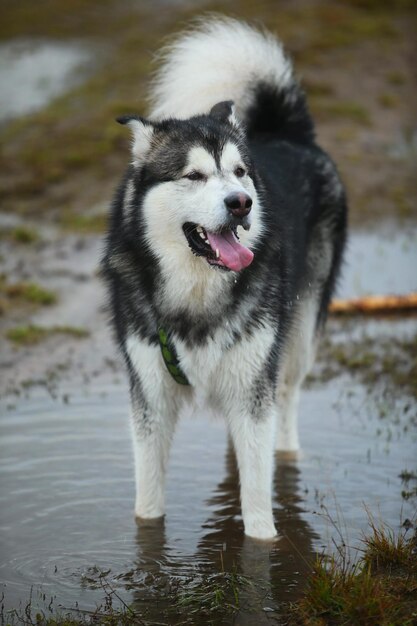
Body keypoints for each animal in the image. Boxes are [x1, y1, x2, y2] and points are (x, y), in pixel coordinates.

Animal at [102, 17, 346, 540]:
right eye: (193, 176)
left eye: (238, 172)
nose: (241, 203)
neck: (197, 292)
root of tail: (287, 132)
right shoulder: (150, 397)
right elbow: (147, 505)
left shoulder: (254, 384)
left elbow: (257, 509)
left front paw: (263, 549)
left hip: (296, 339)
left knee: (285, 401)